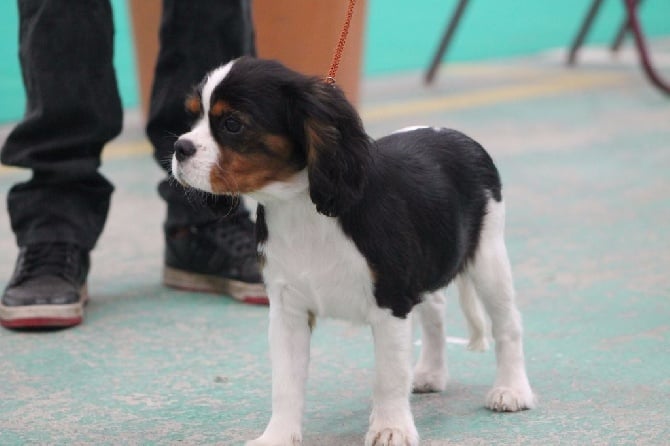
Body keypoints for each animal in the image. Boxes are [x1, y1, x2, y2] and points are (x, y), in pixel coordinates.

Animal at [172, 57, 536, 444]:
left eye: (232, 124)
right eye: (192, 117)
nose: (179, 148)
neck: (299, 207)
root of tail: (456, 135)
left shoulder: (391, 301)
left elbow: (388, 377)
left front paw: (391, 428)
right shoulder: (288, 311)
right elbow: (285, 384)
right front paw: (278, 435)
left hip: (489, 258)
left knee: (508, 324)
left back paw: (511, 390)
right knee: (435, 311)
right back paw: (431, 374)